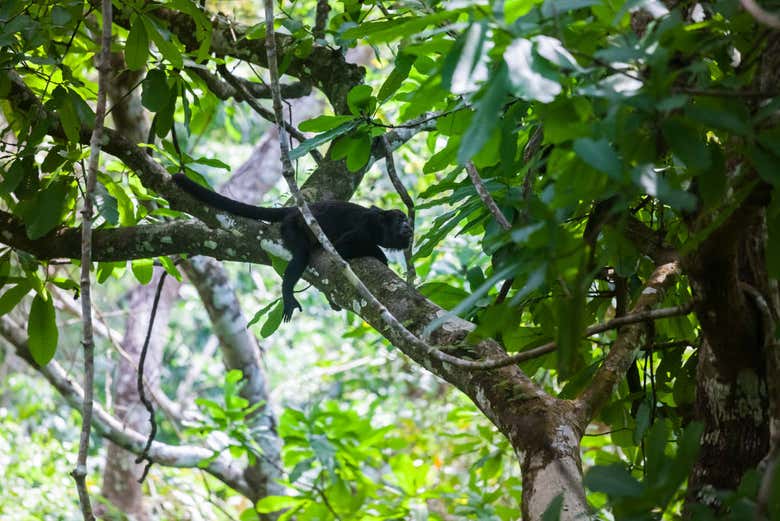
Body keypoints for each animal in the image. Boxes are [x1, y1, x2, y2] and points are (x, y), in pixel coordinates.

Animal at [171, 173, 413, 321]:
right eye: (401, 219)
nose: (409, 226)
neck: (379, 227)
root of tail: (295, 211)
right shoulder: (365, 228)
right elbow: (342, 248)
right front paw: (380, 256)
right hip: (291, 227)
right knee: (301, 256)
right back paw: (287, 293)